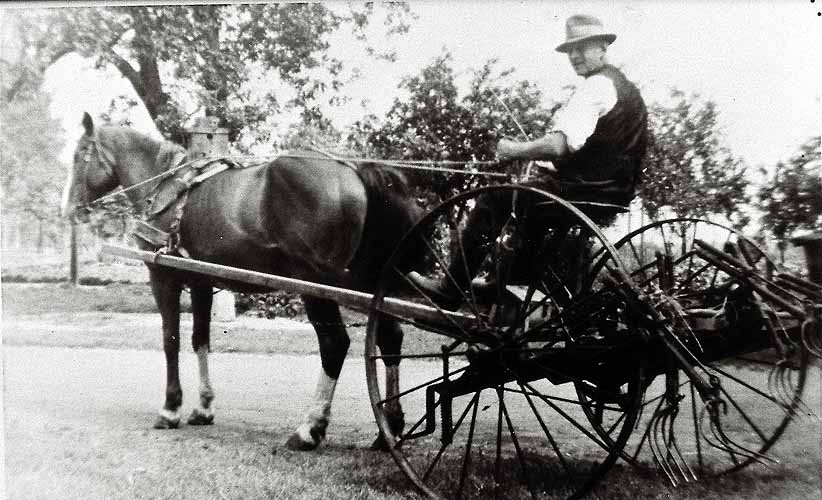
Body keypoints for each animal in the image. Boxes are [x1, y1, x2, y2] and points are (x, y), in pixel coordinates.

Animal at [61, 112, 422, 450]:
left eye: (79, 156)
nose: (70, 210)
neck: (168, 188)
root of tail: (353, 169)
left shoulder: (163, 276)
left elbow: (171, 340)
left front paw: (170, 409)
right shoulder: (202, 282)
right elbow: (200, 339)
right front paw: (203, 408)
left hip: (319, 285)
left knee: (335, 344)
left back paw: (310, 428)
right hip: (367, 284)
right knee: (389, 337)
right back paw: (389, 429)